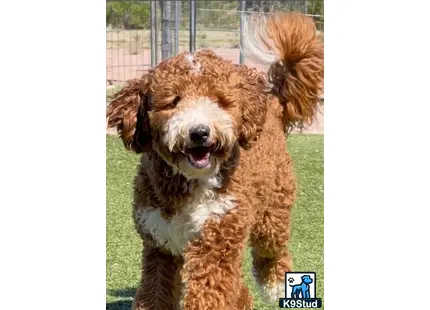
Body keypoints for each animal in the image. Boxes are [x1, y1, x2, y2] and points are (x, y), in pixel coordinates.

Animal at [106, 12, 322, 310]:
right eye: (173, 101)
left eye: (219, 101)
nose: (199, 132)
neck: (189, 184)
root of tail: (272, 105)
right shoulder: (159, 244)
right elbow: (155, 291)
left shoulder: (216, 244)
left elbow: (211, 294)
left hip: (272, 212)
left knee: (272, 251)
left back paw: (277, 286)